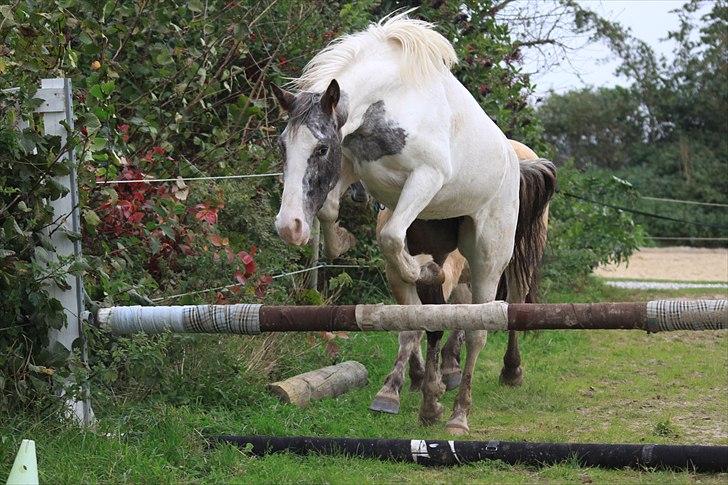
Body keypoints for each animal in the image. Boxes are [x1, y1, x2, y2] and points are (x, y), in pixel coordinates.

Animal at [272, 13, 552, 432]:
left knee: (478, 330)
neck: (391, 99)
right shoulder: (352, 163)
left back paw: (460, 413)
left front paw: (415, 267)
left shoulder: (426, 177)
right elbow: (330, 210)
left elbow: (390, 237)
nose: (288, 227)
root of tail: (515, 163)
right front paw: (342, 241)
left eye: (321, 148)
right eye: (283, 146)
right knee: (434, 315)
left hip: (489, 257)